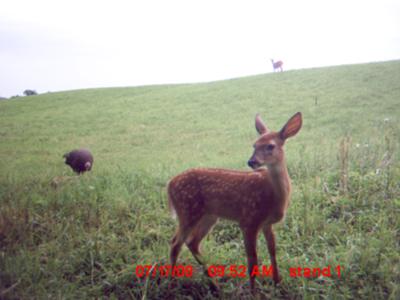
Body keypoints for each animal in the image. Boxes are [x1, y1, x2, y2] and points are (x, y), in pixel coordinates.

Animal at [167, 111, 302, 290]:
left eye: (270, 146)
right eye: (254, 145)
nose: (252, 161)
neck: (274, 197)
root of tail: (169, 185)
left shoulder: (267, 223)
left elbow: (272, 250)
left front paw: (277, 282)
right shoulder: (248, 220)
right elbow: (252, 260)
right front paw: (254, 292)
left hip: (209, 216)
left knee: (191, 242)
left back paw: (215, 284)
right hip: (187, 211)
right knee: (176, 243)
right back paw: (172, 282)